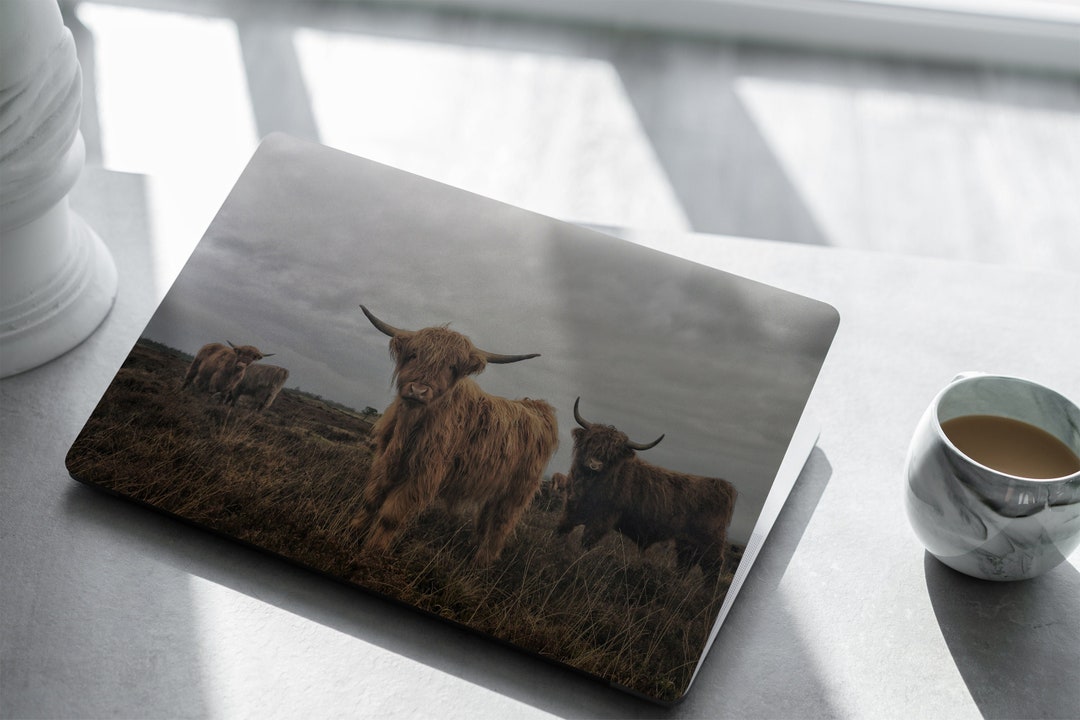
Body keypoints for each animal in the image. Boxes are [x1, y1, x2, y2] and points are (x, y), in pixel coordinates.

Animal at [350, 305, 558, 565]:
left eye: (451, 367)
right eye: (414, 355)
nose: (418, 390)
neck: (407, 430)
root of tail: (537, 407)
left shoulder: (424, 475)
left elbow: (390, 516)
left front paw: (371, 552)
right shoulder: (384, 459)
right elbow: (370, 500)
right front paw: (353, 534)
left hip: (518, 490)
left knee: (501, 523)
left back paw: (482, 563)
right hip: (496, 487)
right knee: (486, 517)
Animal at [556, 398, 737, 582]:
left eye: (612, 454)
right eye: (591, 442)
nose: (594, 465)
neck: (588, 485)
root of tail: (722, 486)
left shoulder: (602, 518)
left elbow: (587, 542)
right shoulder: (570, 507)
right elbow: (561, 529)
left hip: (710, 542)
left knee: (712, 567)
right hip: (686, 542)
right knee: (685, 562)